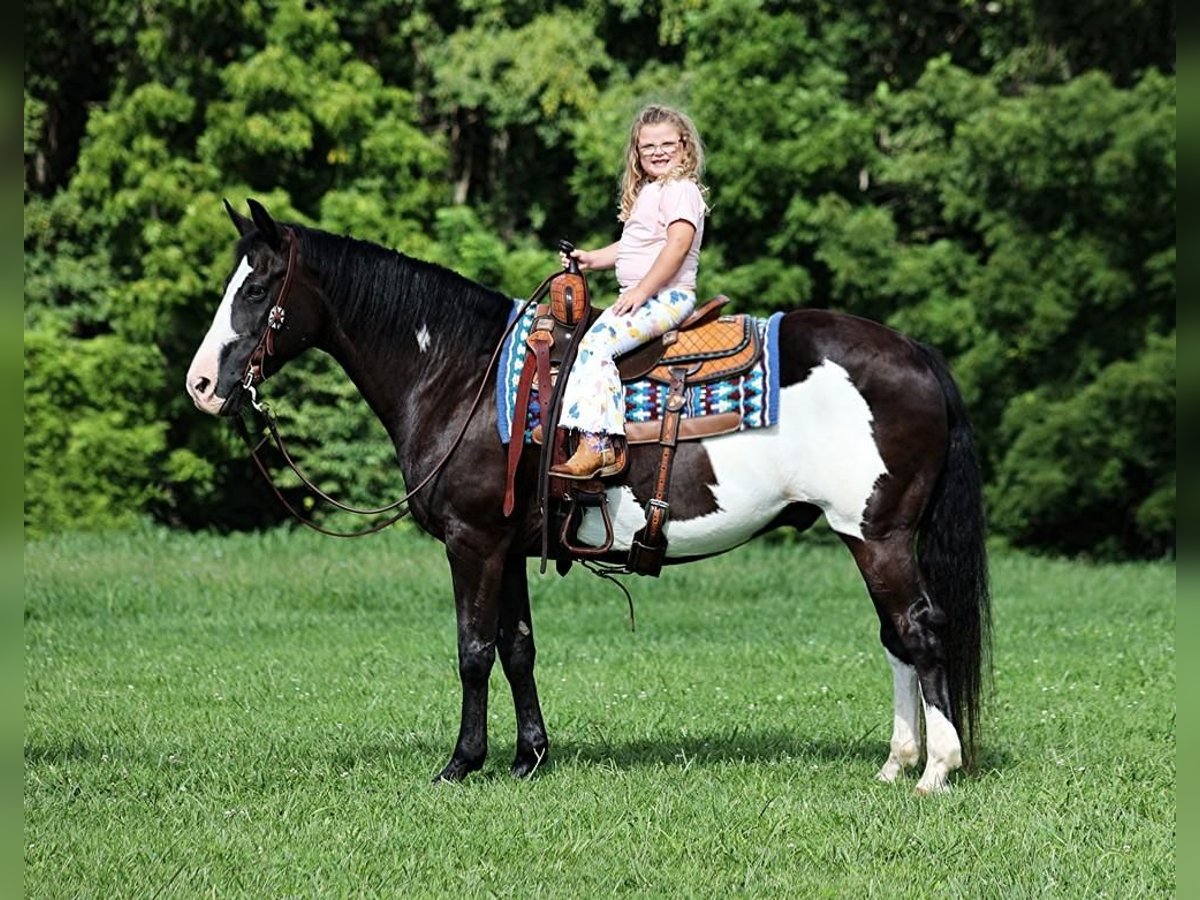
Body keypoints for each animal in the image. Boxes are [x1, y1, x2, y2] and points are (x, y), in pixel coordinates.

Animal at [184, 199, 993, 796]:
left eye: (256, 287)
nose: (200, 384)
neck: (462, 375)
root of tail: (915, 353)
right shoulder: (507, 545)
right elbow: (518, 648)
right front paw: (528, 758)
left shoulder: (472, 540)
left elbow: (473, 650)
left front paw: (461, 764)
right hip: (866, 539)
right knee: (895, 638)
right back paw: (896, 764)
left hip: (879, 535)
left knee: (920, 630)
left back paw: (936, 772)